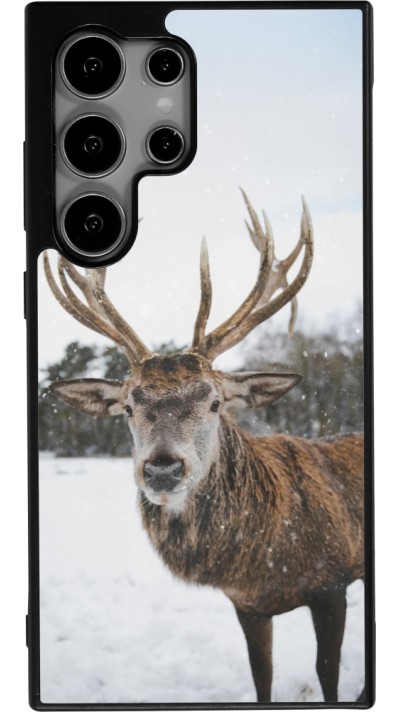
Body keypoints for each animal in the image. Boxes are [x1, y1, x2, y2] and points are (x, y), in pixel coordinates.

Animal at [44, 190, 364, 703]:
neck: (264, 560)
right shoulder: (247, 604)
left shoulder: (333, 583)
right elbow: (261, 676)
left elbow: (327, 673)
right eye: (129, 406)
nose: (162, 470)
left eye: (214, 402)